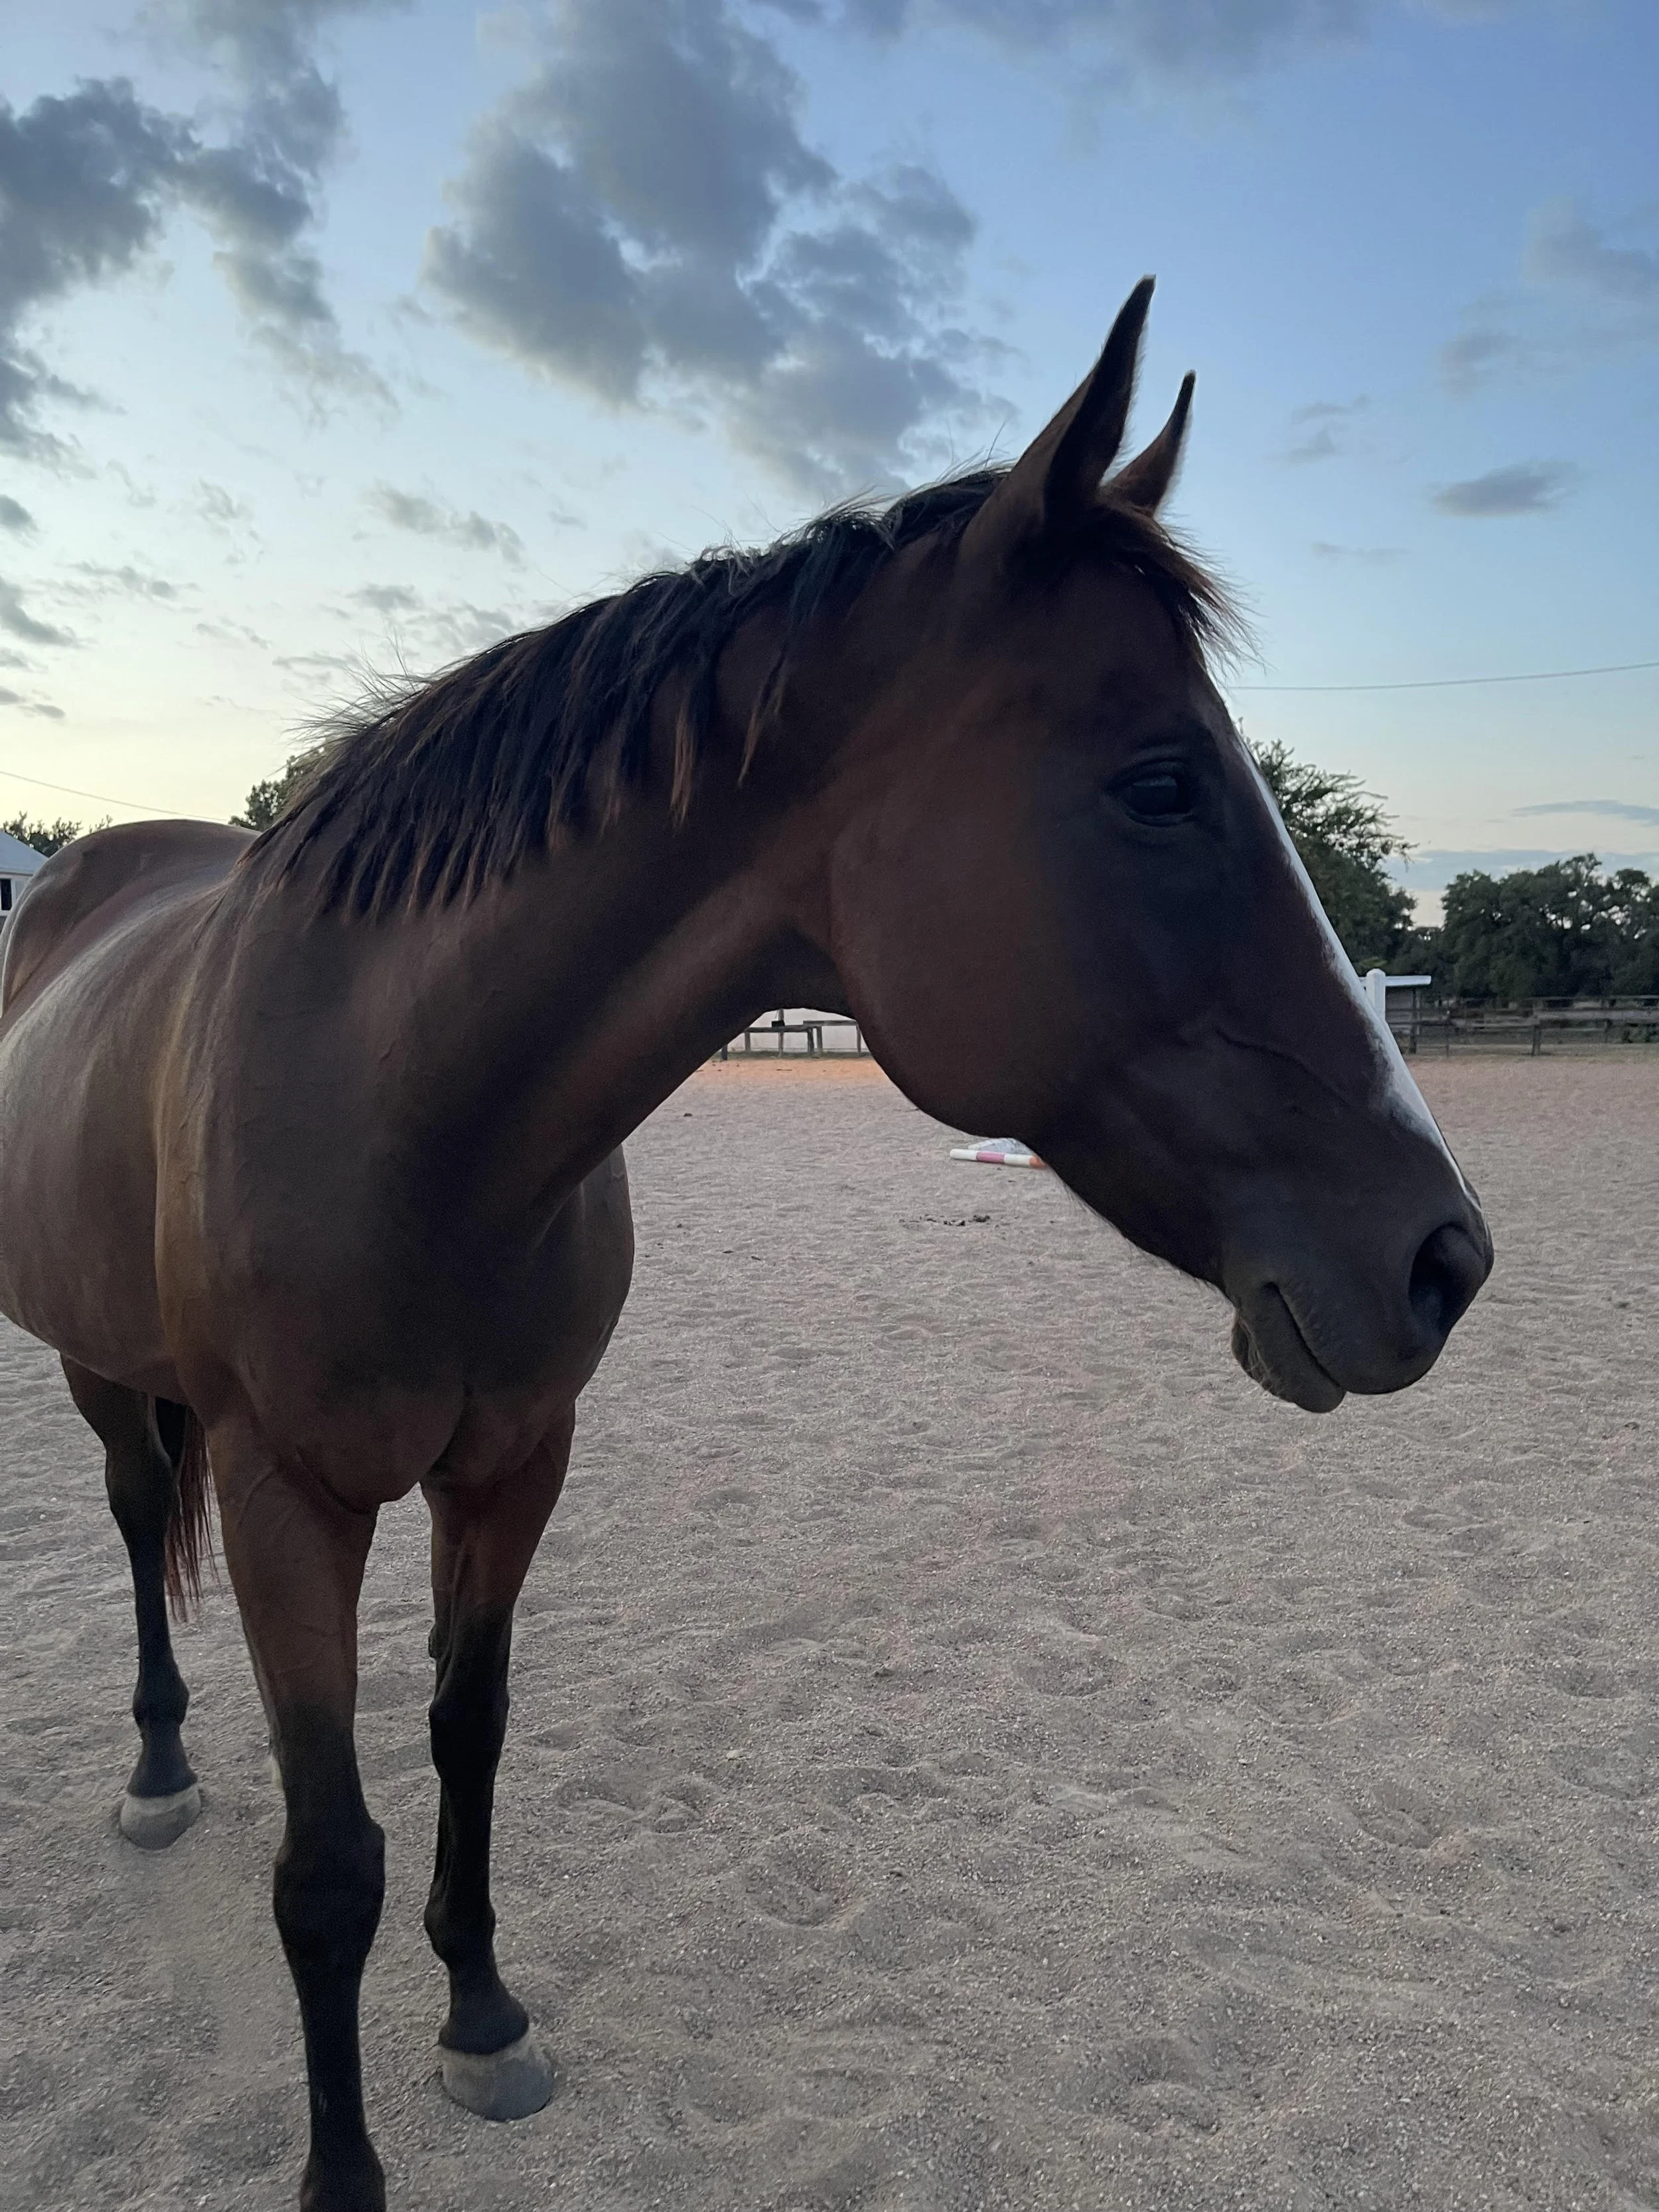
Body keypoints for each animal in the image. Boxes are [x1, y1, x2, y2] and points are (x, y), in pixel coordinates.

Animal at [0, 281, 1491, 2212]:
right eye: (1160, 783)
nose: (1443, 1255)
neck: (403, 1112)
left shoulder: (515, 1463)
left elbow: (467, 1733)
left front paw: (482, 2015)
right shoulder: (285, 1493)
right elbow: (327, 1860)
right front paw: (343, 2168)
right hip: (101, 1375)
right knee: (129, 1525)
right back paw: (161, 1764)